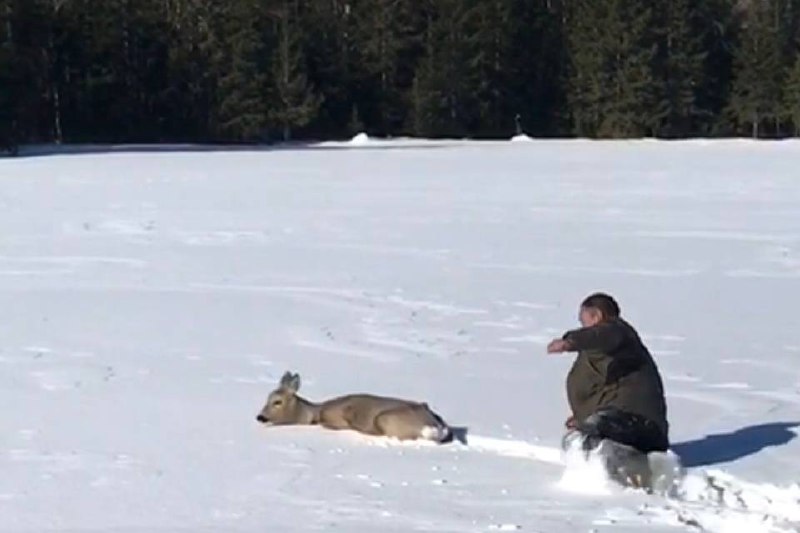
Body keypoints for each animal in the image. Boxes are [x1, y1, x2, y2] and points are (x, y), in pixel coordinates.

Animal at [258, 368, 456, 442]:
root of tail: (436, 427)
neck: (316, 412)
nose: (260, 417)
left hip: (385, 418)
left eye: (277, 402)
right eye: (267, 398)